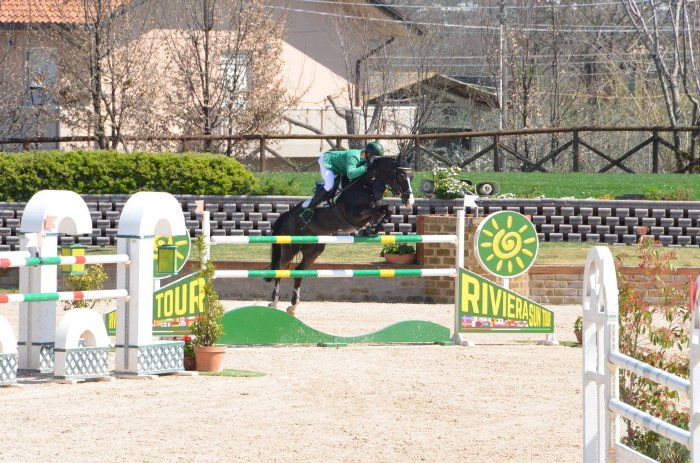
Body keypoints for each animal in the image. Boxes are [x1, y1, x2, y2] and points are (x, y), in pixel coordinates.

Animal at [266, 156, 412, 316]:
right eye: (402, 176)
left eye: (412, 177)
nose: (409, 201)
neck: (366, 185)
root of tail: (286, 215)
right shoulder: (353, 214)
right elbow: (377, 210)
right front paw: (373, 226)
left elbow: (387, 208)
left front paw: (376, 227)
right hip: (291, 247)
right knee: (280, 268)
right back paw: (274, 302)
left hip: (313, 250)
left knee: (299, 271)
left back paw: (293, 306)